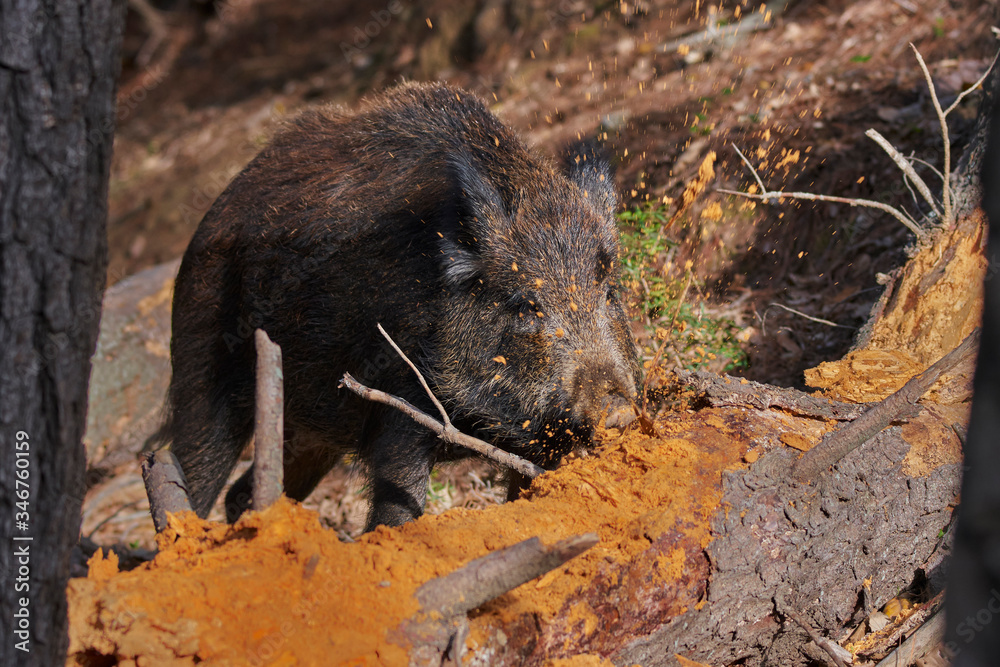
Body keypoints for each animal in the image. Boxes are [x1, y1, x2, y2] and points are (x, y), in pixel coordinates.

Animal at [155, 82, 640, 531]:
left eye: (609, 293)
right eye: (525, 305)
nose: (617, 410)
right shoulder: (401, 408)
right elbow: (396, 512)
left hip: (312, 428)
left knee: (244, 492)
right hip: (203, 369)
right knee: (191, 473)